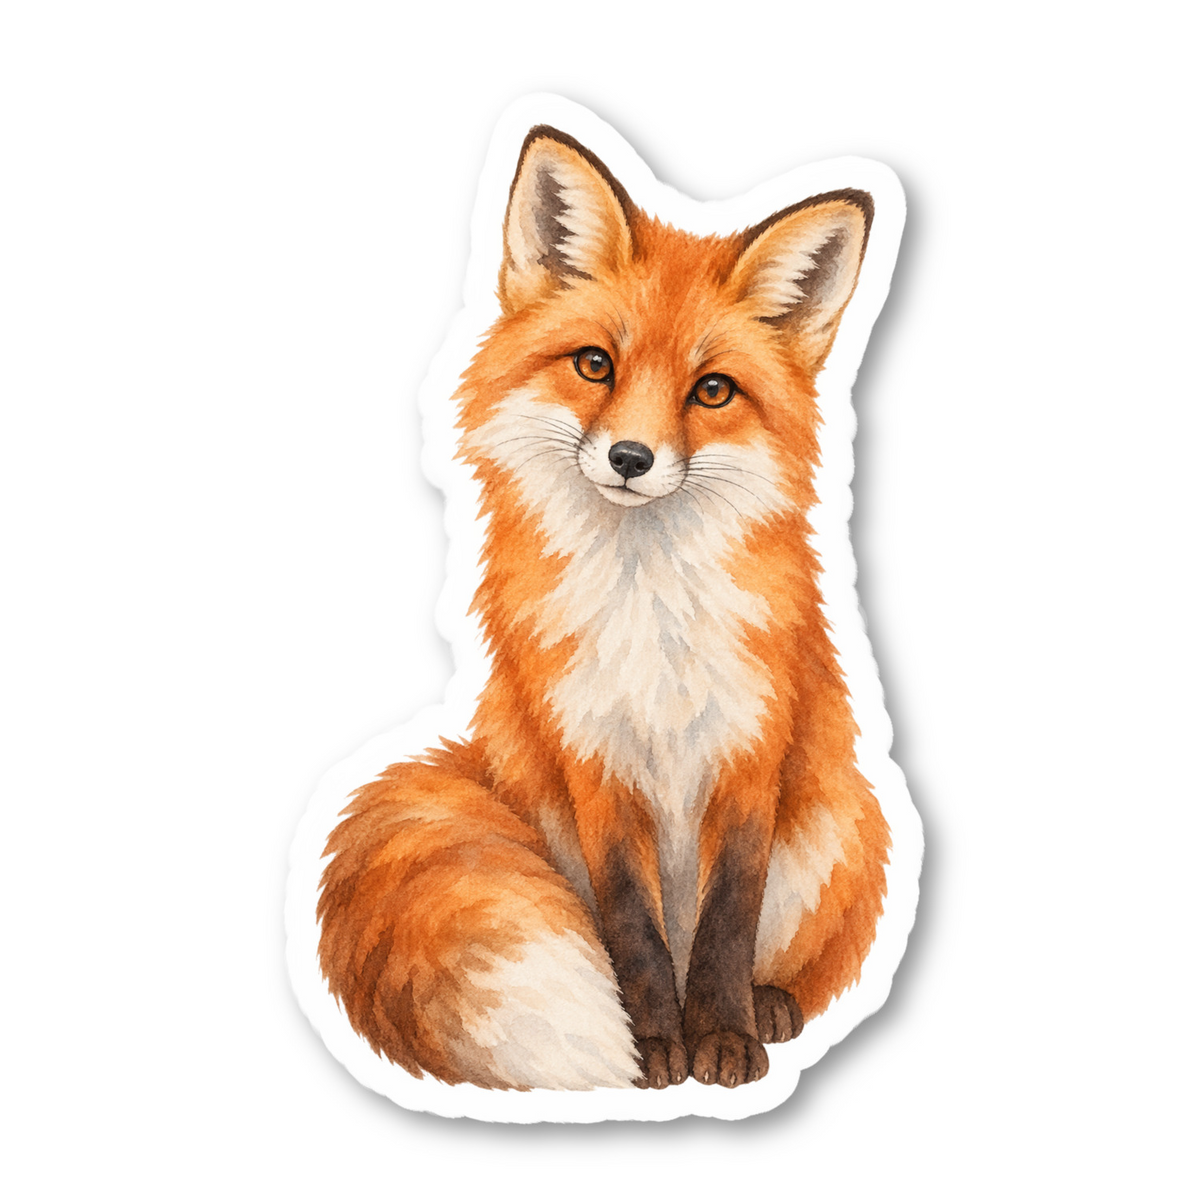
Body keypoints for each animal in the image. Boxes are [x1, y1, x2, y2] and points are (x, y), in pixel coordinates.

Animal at [315, 125, 892, 1093]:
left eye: (712, 390)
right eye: (596, 365)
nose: (629, 457)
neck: (647, 606)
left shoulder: (751, 749)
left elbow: (729, 918)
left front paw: (722, 1036)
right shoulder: (591, 756)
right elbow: (632, 926)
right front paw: (656, 1044)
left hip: (843, 823)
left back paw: (771, 1005)